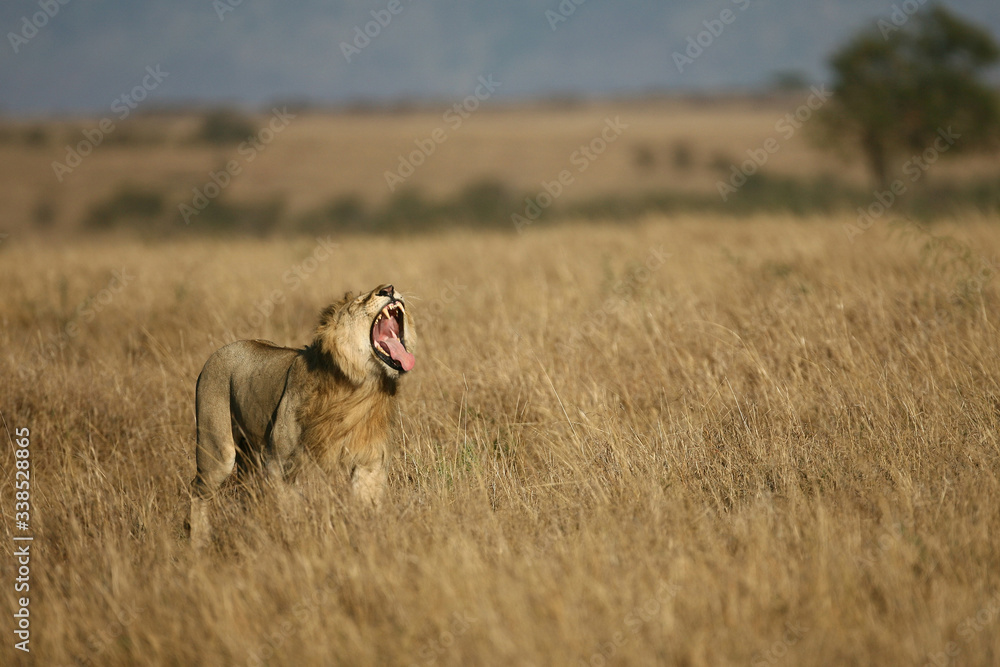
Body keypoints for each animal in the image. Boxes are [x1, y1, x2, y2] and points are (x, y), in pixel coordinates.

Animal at [188, 284, 415, 548]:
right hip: (217, 451)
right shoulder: (280, 464)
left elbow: (365, 505)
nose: (388, 289)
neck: (361, 385)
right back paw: (198, 542)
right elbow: (289, 509)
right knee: (197, 490)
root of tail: (221, 349)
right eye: (359, 301)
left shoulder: (369, 461)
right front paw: (294, 538)